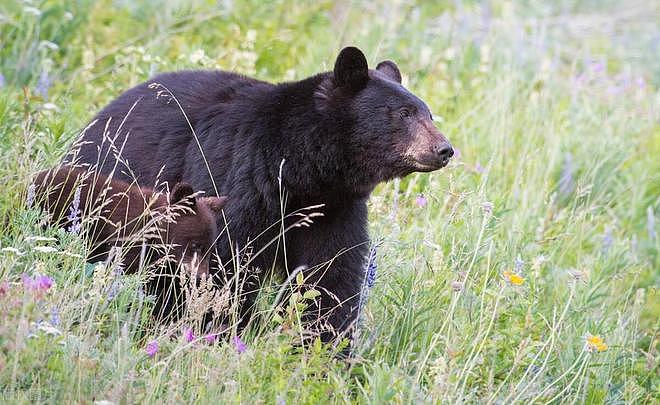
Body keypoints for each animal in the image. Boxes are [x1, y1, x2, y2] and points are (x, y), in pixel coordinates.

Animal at [66, 46, 453, 347]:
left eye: (429, 113)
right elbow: (225, 260)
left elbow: (330, 271)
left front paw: (323, 348)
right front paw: (220, 330)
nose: (445, 149)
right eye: (404, 113)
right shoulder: (235, 175)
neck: (299, 168)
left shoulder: (333, 205)